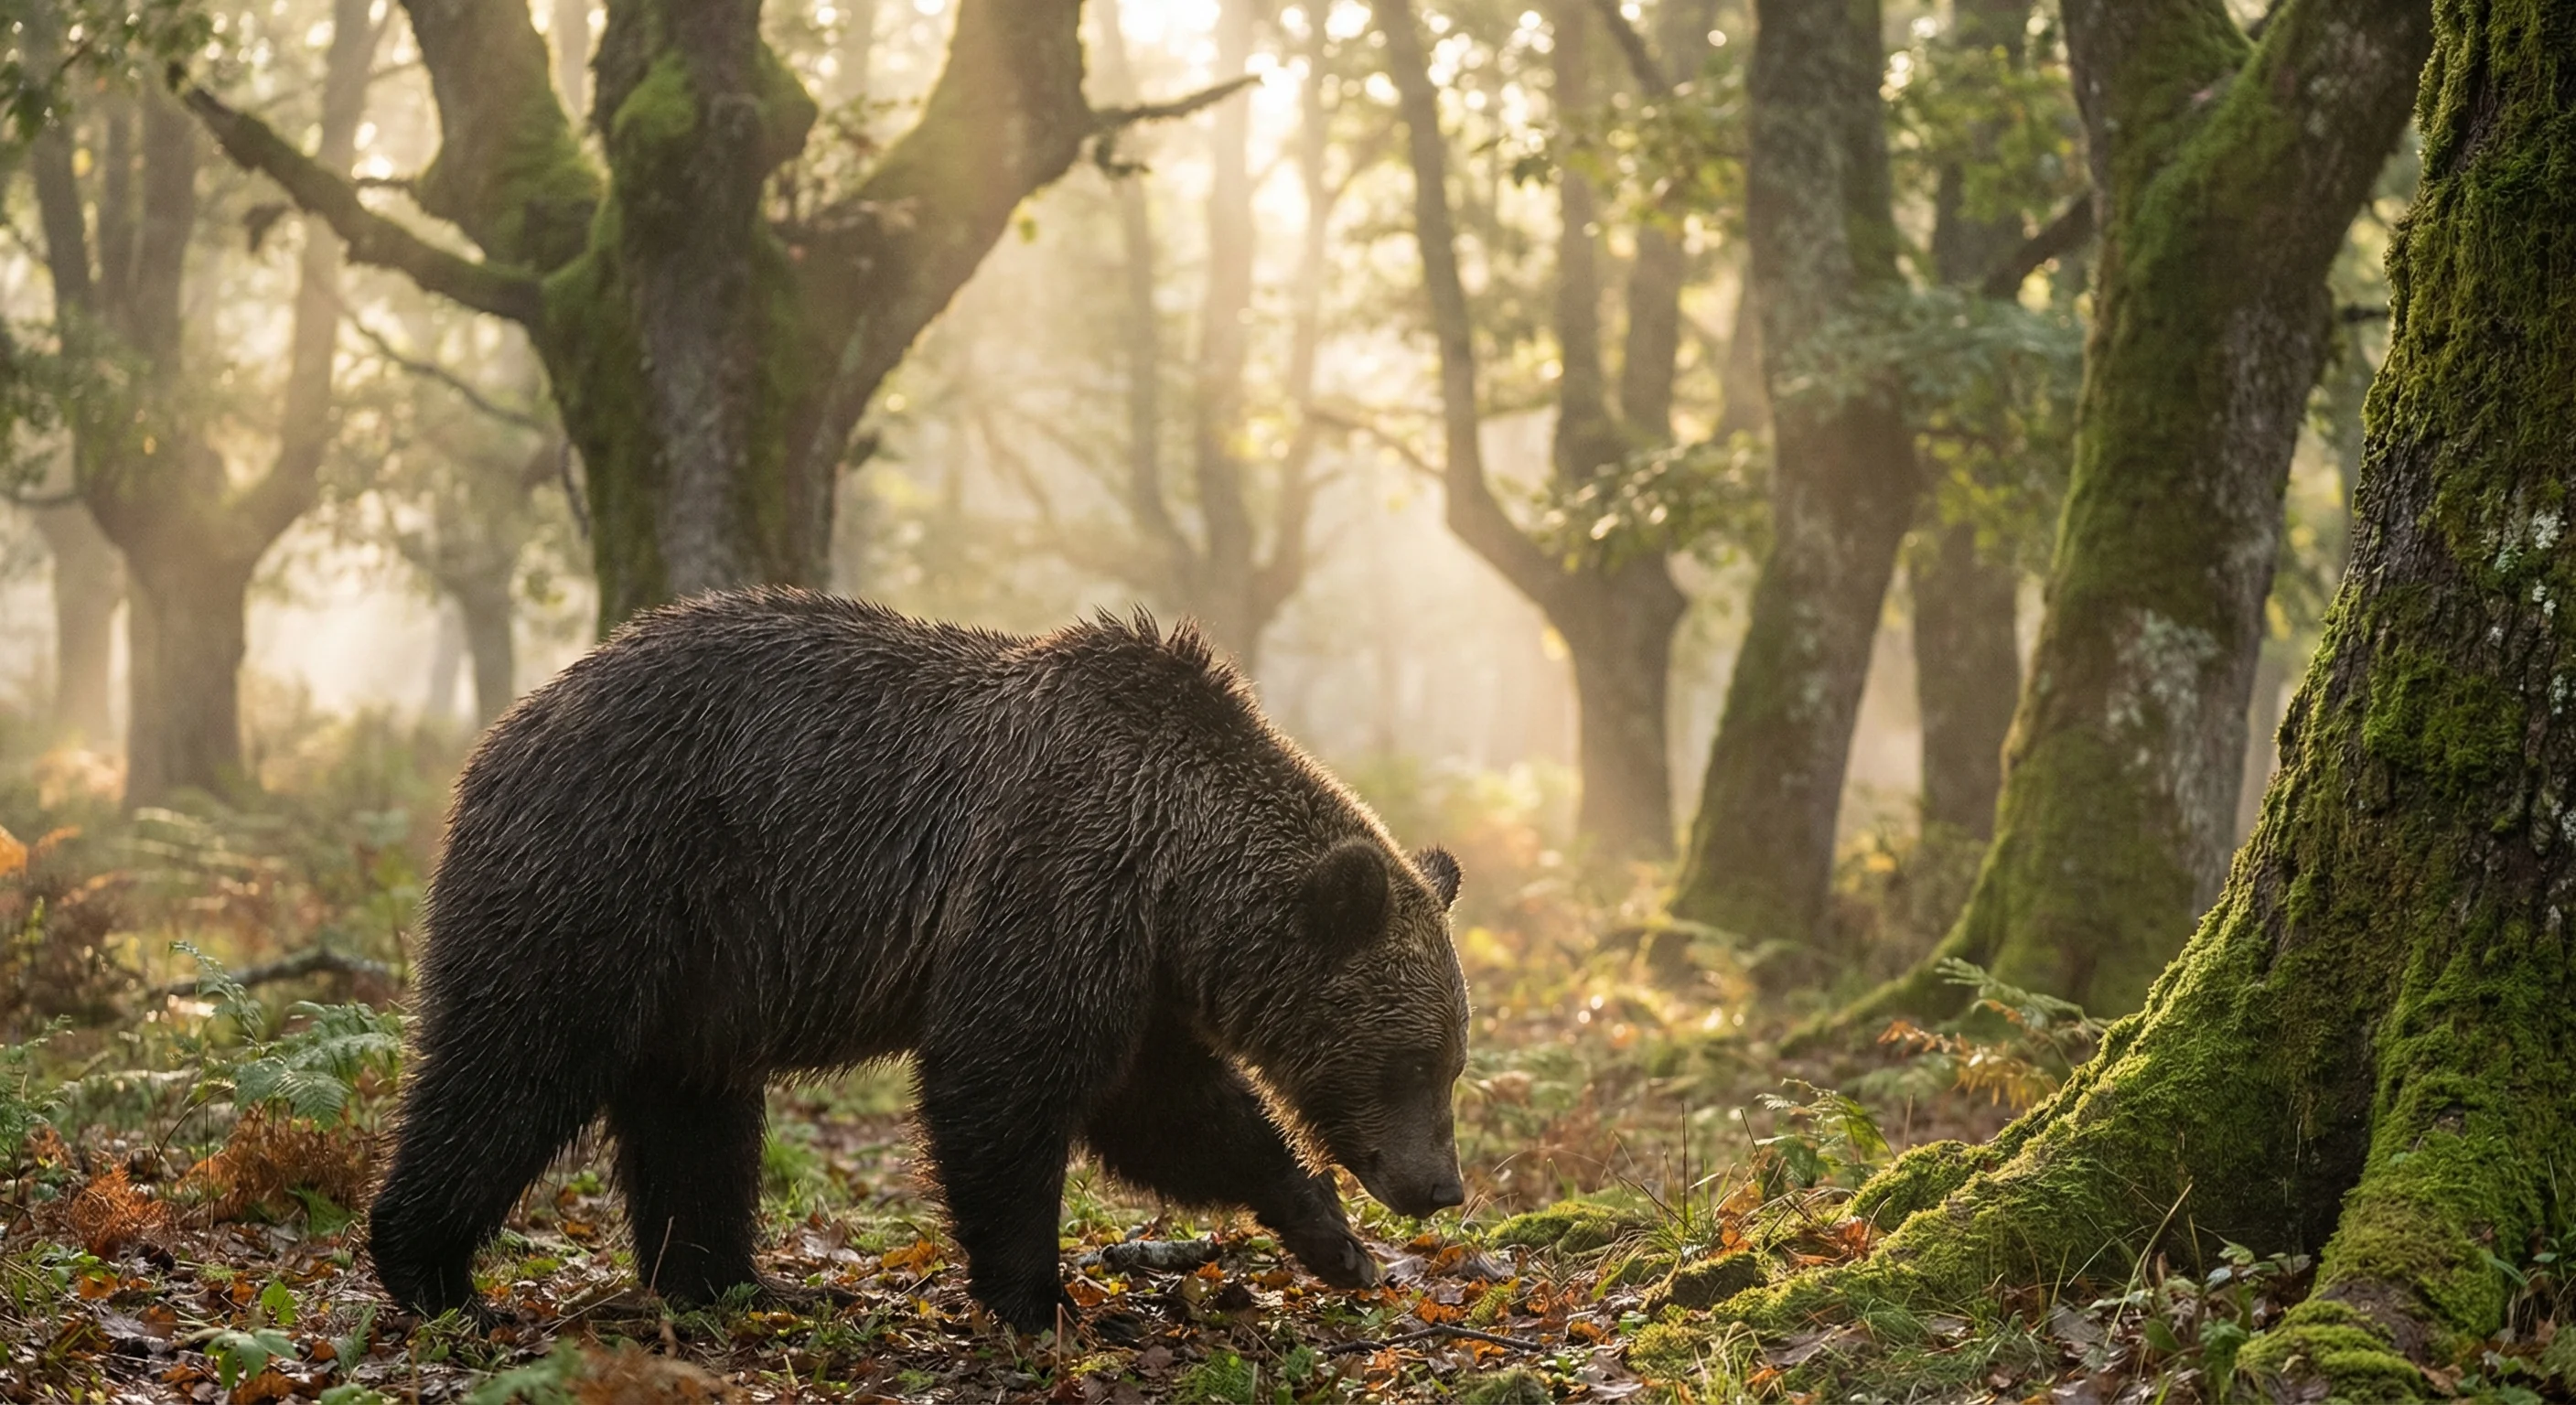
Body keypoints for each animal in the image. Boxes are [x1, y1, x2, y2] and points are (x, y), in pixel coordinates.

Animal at [367, 588, 1470, 1332]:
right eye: (1414, 1060)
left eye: (1452, 1062)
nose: (1442, 1187)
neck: (1171, 877)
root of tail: (504, 734)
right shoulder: (1051, 877)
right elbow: (1004, 1084)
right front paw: (1040, 1297)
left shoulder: (1132, 967)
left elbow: (1174, 1112)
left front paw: (1336, 1244)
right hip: (611, 880)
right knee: (512, 1066)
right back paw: (438, 1277)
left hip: (694, 974)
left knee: (694, 1114)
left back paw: (733, 1281)